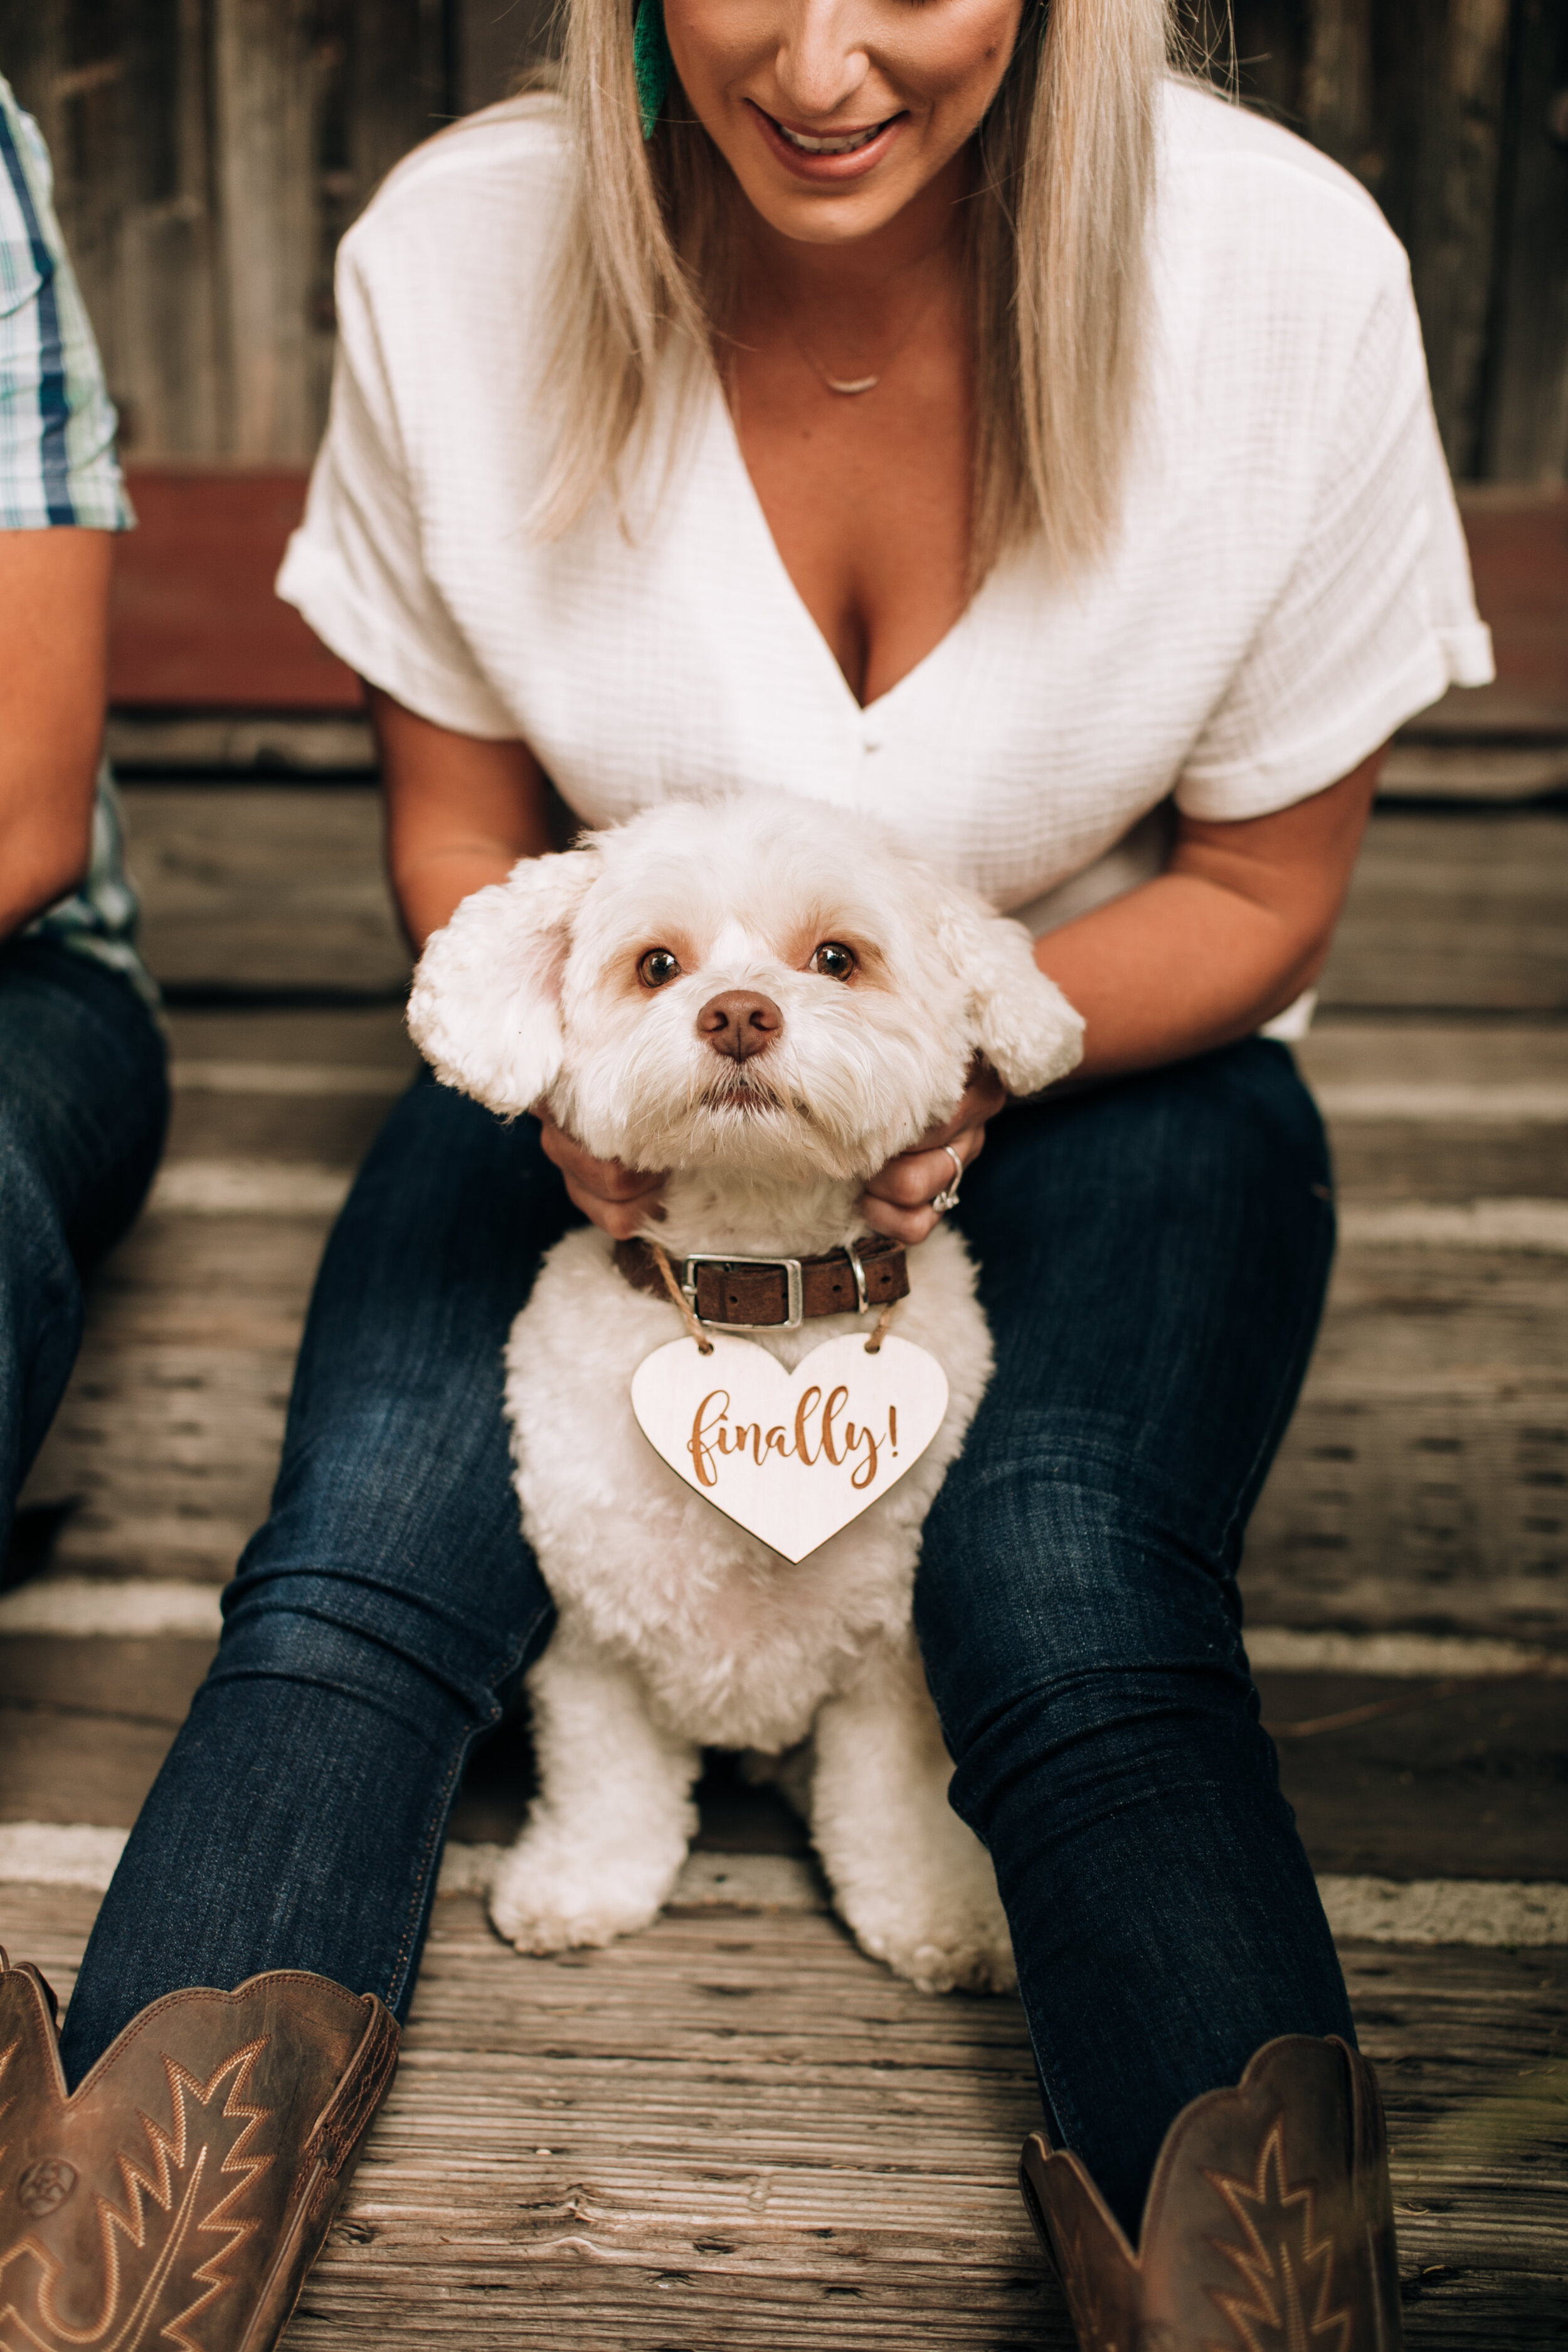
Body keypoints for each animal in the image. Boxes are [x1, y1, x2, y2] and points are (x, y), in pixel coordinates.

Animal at [411, 800, 1086, 1994]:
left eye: (837, 958)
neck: (762, 1296)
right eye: (657, 965)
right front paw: (585, 1883)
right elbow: (609, 1782)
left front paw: (937, 1905)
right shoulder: (597, 1632)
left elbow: (892, 1800)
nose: (736, 1013)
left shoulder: (889, 1658)